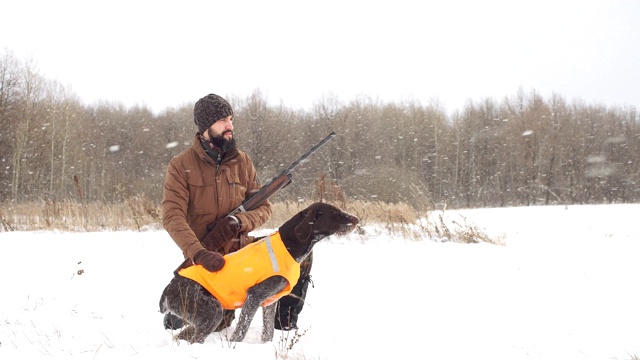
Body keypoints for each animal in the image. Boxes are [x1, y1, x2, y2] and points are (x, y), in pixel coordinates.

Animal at [159, 202, 360, 344]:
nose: (357, 219)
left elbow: (268, 332)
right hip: (212, 312)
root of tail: (168, 289)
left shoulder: (270, 302)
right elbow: (241, 330)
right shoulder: (254, 297)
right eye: (335, 213)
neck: (290, 246)